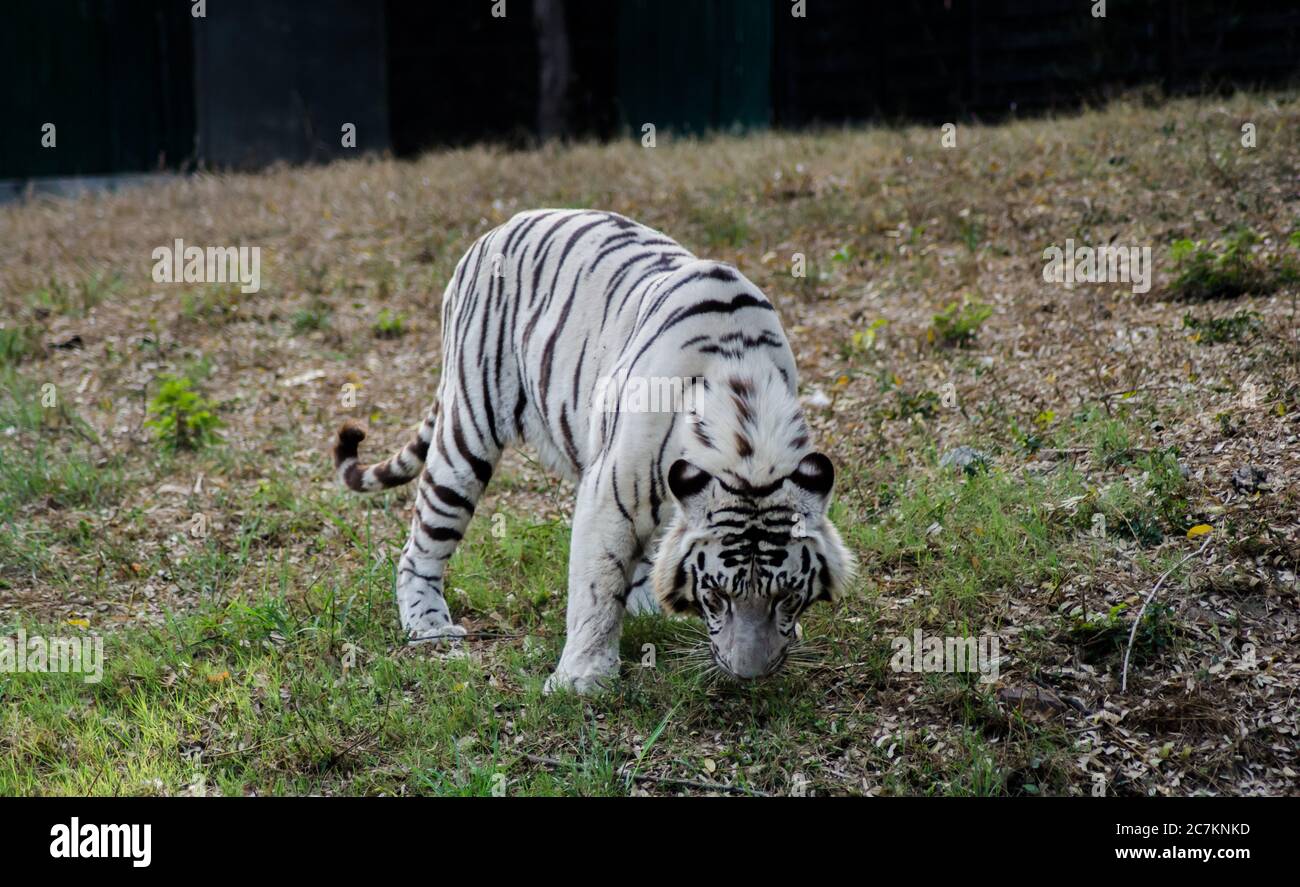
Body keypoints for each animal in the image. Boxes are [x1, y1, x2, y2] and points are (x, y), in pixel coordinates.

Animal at [333, 209, 855, 693]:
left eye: (787, 598)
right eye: (716, 597)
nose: (750, 675)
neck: (747, 430)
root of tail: (495, 230)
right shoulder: (612, 489)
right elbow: (597, 586)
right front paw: (581, 680)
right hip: (467, 432)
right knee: (420, 544)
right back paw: (429, 627)